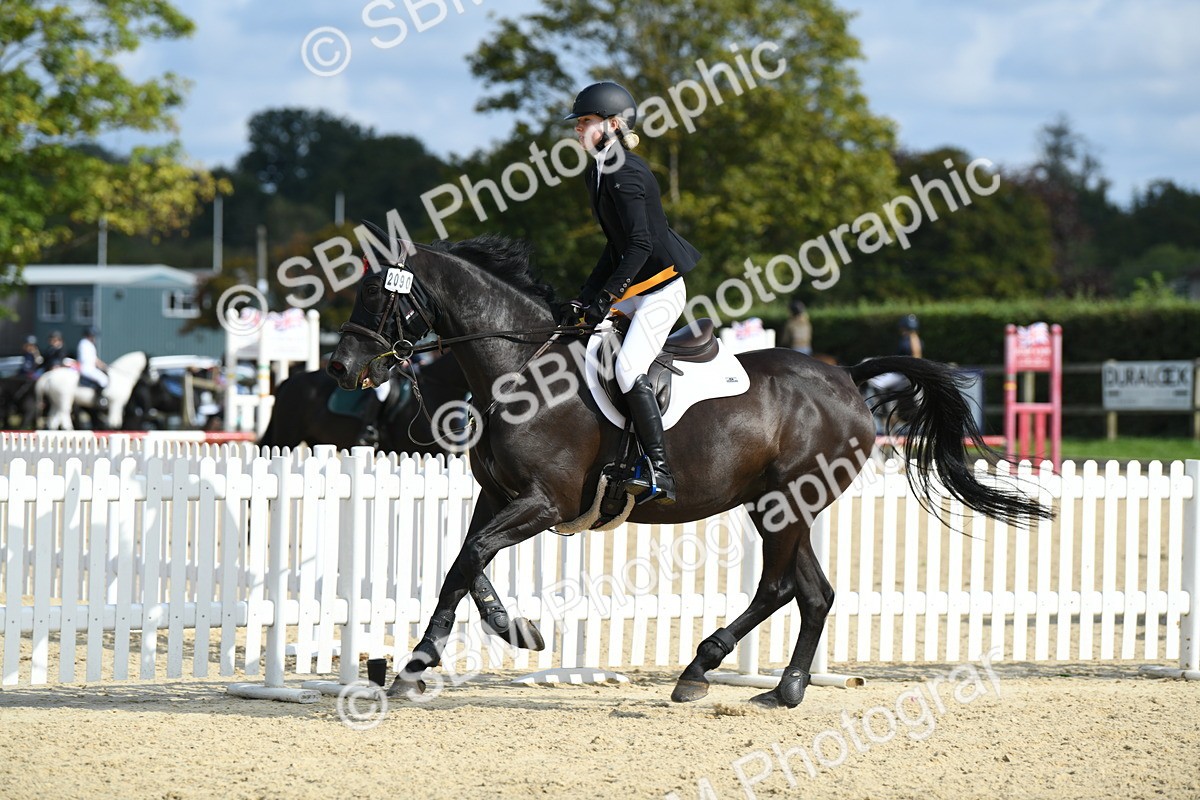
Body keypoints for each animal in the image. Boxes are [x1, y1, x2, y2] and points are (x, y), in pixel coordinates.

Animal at [328, 233, 1052, 708]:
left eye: (380, 300)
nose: (339, 368)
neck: (522, 371)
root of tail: (846, 376)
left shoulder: (545, 503)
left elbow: (469, 557)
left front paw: (422, 662)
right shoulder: (499, 495)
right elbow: (465, 562)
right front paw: (509, 631)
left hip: (786, 502)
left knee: (779, 587)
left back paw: (700, 671)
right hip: (780, 504)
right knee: (813, 592)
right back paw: (782, 690)